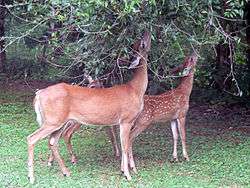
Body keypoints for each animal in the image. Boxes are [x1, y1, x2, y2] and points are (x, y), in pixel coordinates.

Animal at [28, 31, 151, 184]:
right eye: (143, 44)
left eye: (137, 43)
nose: (147, 32)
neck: (135, 90)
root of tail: (39, 94)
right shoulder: (126, 120)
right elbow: (125, 146)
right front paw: (127, 174)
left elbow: (126, 144)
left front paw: (125, 170)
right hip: (53, 120)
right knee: (31, 138)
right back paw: (31, 177)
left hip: (58, 122)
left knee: (52, 141)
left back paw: (66, 172)